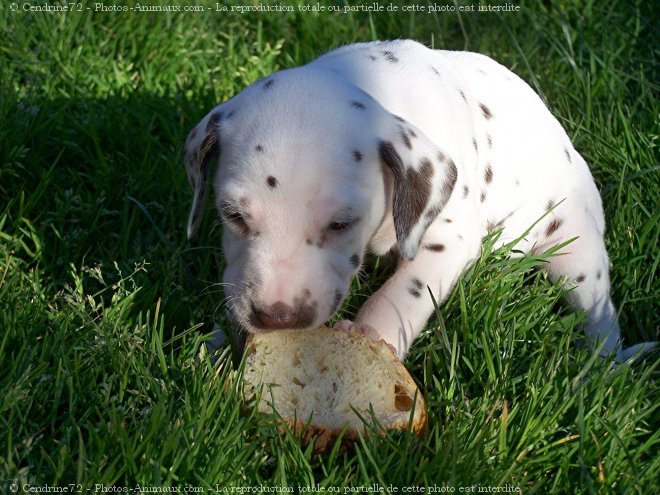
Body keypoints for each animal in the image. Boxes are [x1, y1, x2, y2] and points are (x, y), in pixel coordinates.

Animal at [183, 38, 652, 362]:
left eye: (341, 223)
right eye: (232, 215)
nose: (279, 316)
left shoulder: (450, 237)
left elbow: (405, 289)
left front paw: (374, 334)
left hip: (576, 251)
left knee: (600, 315)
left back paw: (603, 367)